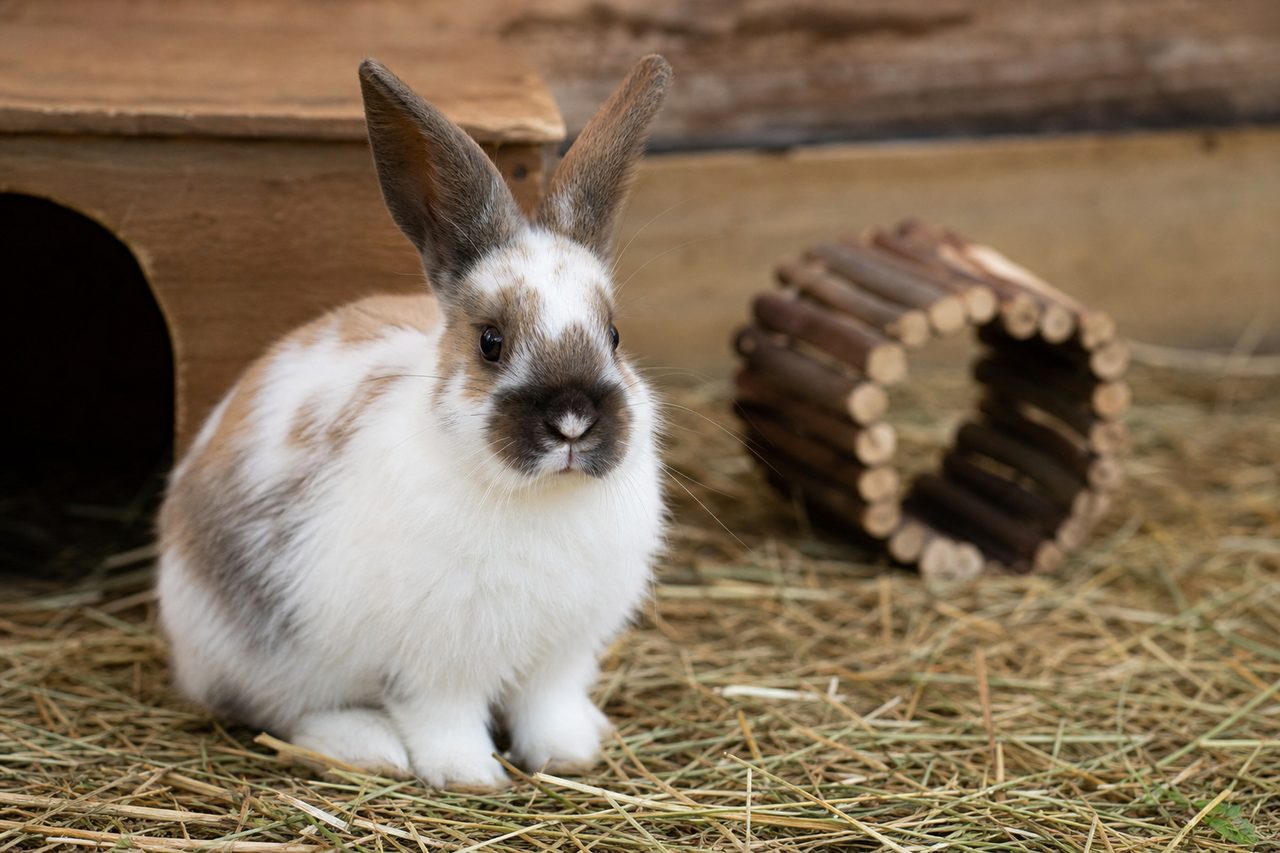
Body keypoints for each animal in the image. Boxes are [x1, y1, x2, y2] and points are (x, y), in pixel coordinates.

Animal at [155, 55, 672, 790]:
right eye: (490, 341)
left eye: (615, 335)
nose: (572, 421)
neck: (534, 497)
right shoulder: (433, 664)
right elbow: (442, 717)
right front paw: (469, 776)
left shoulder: (560, 654)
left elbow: (548, 704)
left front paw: (570, 754)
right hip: (259, 650)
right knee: (275, 712)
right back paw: (367, 747)